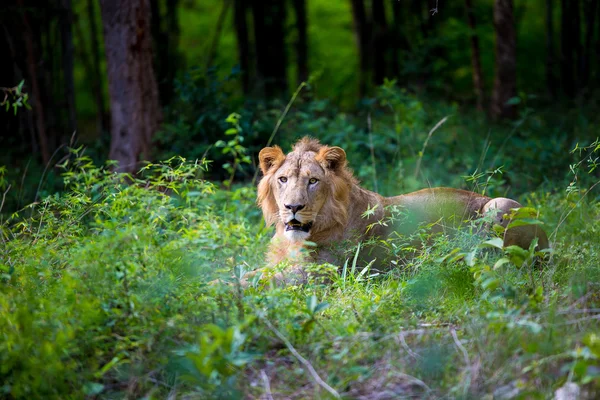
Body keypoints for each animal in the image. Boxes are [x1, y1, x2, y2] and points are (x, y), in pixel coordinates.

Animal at [253, 138, 548, 284]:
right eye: (283, 180)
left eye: (313, 181)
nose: (293, 207)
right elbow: (253, 273)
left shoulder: (322, 275)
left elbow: (261, 281)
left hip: (501, 204)